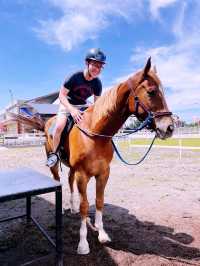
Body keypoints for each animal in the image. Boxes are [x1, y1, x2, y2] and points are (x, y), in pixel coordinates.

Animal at [33, 57, 174, 254]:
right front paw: (83, 243)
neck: (95, 134)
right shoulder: (83, 175)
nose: (169, 127)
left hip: (73, 169)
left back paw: (72, 207)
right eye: (152, 92)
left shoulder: (103, 173)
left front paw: (101, 233)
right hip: (55, 165)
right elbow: (85, 206)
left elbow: (99, 201)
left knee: (69, 180)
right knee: (59, 180)